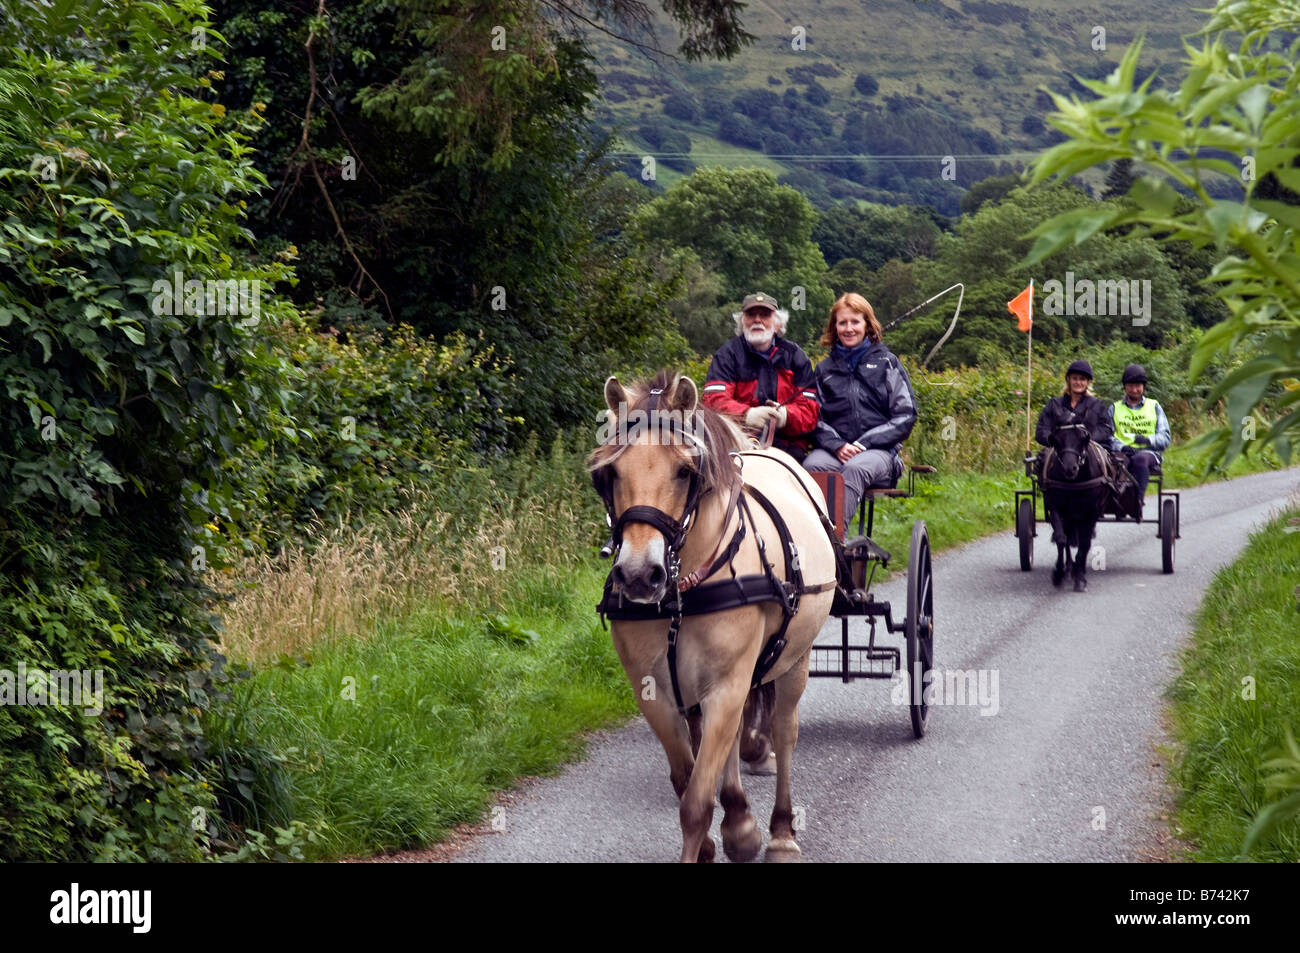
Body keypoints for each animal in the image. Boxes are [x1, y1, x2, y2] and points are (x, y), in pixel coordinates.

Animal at [1040, 421, 1112, 587]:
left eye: (1081, 440)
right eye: (1057, 441)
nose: (1070, 468)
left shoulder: (1092, 511)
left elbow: (1085, 543)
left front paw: (1079, 578)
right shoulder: (1056, 507)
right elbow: (1061, 539)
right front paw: (1059, 572)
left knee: (1085, 541)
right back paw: (1068, 568)